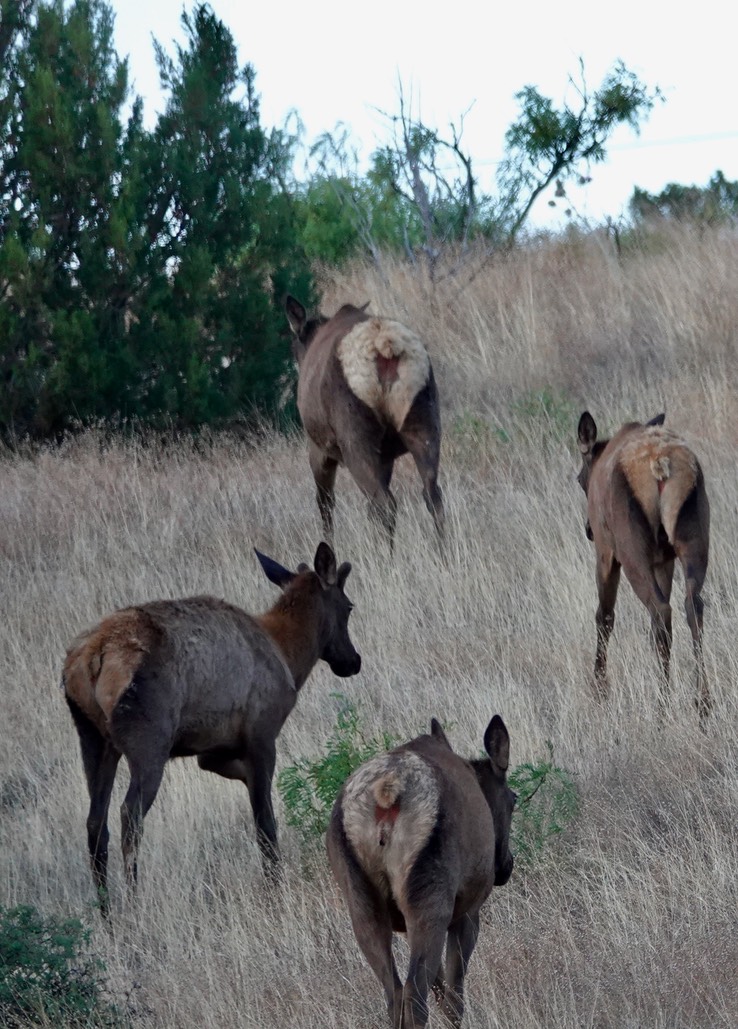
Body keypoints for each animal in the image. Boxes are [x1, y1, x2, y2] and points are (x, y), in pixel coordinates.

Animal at [62, 543, 362, 913]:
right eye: (348, 606)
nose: (353, 661)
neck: (291, 655)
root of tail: (92, 660)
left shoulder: (210, 749)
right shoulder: (262, 734)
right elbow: (265, 821)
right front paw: (274, 886)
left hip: (93, 739)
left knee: (95, 822)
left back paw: (107, 912)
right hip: (148, 740)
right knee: (129, 816)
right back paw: (134, 902)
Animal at [282, 296, 442, 547]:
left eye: (293, 347)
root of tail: (383, 345)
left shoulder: (317, 448)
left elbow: (325, 503)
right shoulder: (386, 457)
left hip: (355, 438)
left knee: (384, 504)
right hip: (424, 419)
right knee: (431, 494)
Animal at [325, 712, 514, 1024]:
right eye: (514, 800)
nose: (506, 866)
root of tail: (386, 794)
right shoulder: (468, 908)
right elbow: (453, 999)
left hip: (362, 900)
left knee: (395, 995)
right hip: (430, 892)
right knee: (415, 996)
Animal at [576, 411, 708, 724]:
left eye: (578, 478)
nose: (588, 528)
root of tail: (659, 464)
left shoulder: (606, 551)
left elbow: (604, 616)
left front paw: (600, 689)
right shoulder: (664, 559)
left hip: (631, 551)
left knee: (660, 611)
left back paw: (662, 708)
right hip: (693, 536)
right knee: (691, 605)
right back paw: (702, 703)